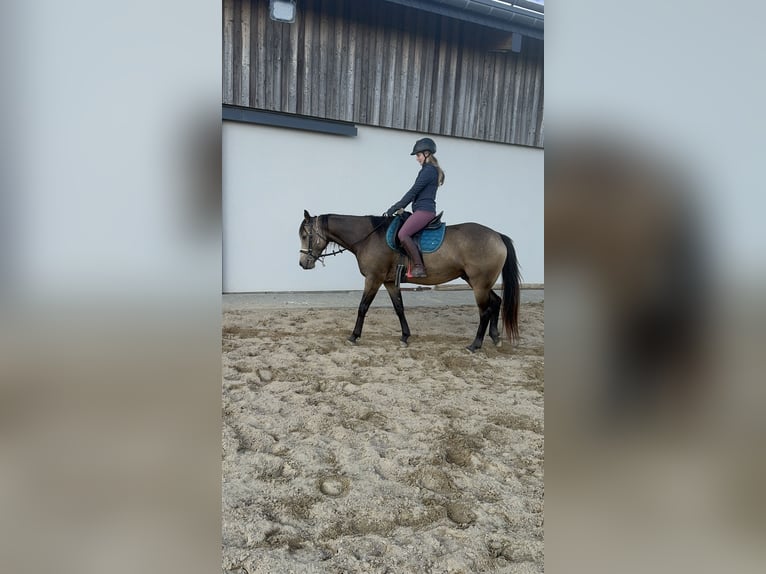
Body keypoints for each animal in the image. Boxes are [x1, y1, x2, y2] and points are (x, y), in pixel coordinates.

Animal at [300, 212, 520, 354]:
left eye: (304, 235)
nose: (303, 263)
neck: (370, 237)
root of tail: (497, 236)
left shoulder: (374, 278)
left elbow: (363, 307)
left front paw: (354, 336)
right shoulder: (389, 282)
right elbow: (399, 308)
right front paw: (405, 336)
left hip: (479, 284)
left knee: (485, 311)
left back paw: (475, 345)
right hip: (479, 282)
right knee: (496, 302)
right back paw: (495, 338)